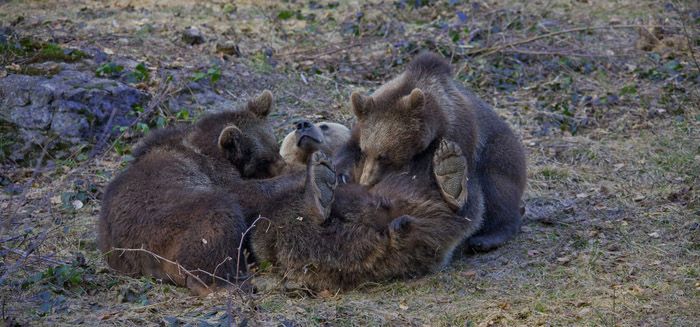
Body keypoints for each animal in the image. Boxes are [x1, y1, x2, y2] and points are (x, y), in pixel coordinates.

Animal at [334, 52, 524, 251]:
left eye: (384, 157)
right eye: (366, 151)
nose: (366, 181)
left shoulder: (461, 135)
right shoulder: (362, 128)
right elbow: (348, 148)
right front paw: (341, 175)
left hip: (500, 152)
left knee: (497, 189)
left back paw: (488, 237)